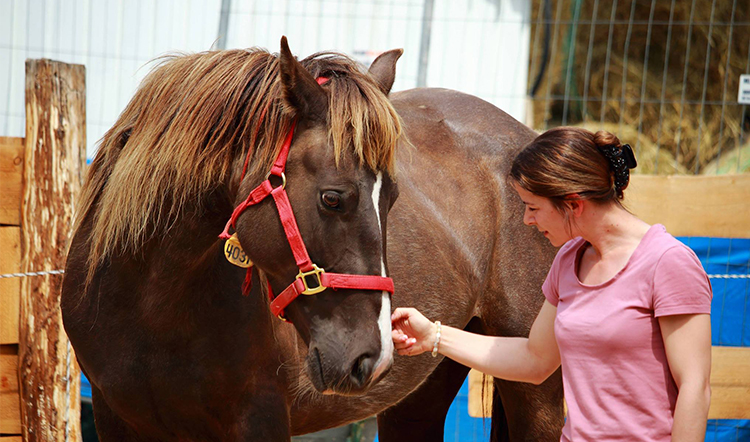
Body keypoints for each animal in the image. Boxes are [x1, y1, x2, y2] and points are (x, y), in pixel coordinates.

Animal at [61, 38, 564, 442]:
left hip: (541, 393)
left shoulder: (259, 418)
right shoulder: (115, 419)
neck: (150, 306)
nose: (373, 357)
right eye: (332, 198)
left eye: (394, 198)